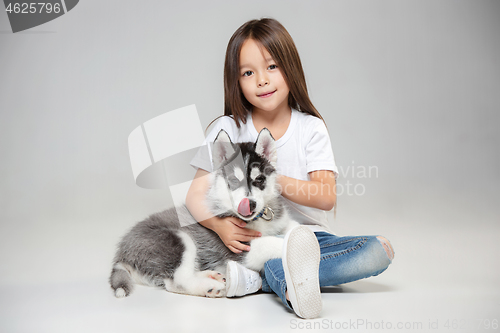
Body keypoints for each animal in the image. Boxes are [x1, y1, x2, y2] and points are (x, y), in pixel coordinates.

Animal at [109, 128, 296, 296]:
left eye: (260, 179)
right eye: (234, 180)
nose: (249, 204)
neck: (259, 219)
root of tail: (121, 254)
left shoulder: (284, 222)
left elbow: (294, 228)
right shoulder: (240, 248)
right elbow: (274, 242)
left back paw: (213, 275)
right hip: (178, 240)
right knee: (177, 281)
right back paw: (212, 287)